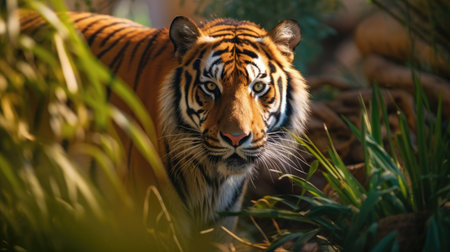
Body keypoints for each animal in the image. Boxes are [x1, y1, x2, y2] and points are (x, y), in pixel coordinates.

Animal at [21, 11, 310, 240]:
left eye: (258, 87)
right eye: (210, 87)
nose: (236, 138)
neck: (214, 178)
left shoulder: (221, 225)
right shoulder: (155, 221)